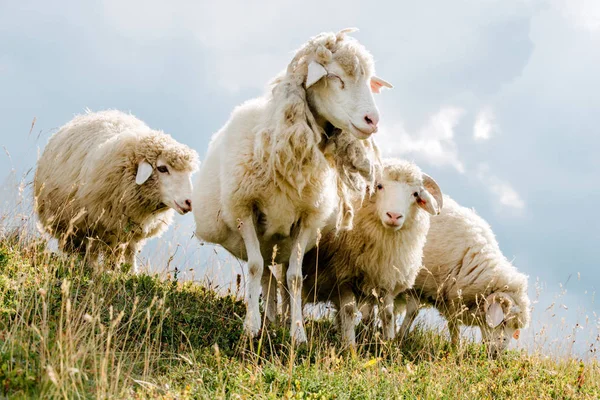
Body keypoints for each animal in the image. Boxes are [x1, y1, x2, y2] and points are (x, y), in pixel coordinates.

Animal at [34, 109, 199, 272]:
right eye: (162, 168)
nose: (189, 202)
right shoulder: (99, 229)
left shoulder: (130, 235)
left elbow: (130, 259)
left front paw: (131, 275)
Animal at [190, 28, 392, 342]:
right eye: (335, 77)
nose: (372, 120)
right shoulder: (244, 209)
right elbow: (254, 268)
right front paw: (251, 326)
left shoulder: (307, 219)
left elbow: (295, 279)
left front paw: (297, 333)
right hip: (250, 234)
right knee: (263, 273)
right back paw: (267, 318)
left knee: (280, 279)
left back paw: (280, 318)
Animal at [298, 159, 440, 346]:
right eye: (379, 186)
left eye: (415, 193)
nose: (394, 216)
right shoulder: (342, 276)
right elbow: (349, 311)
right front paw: (350, 346)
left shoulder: (386, 280)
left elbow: (388, 315)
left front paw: (389, 344)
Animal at [396, 196, 532, 356]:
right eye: (503, 321)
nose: (496, 354)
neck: (468, 259)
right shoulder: (417, 285)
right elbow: (412, 313)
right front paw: (399, 338)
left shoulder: (452, 298)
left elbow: (453, 326)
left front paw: (456, 349)